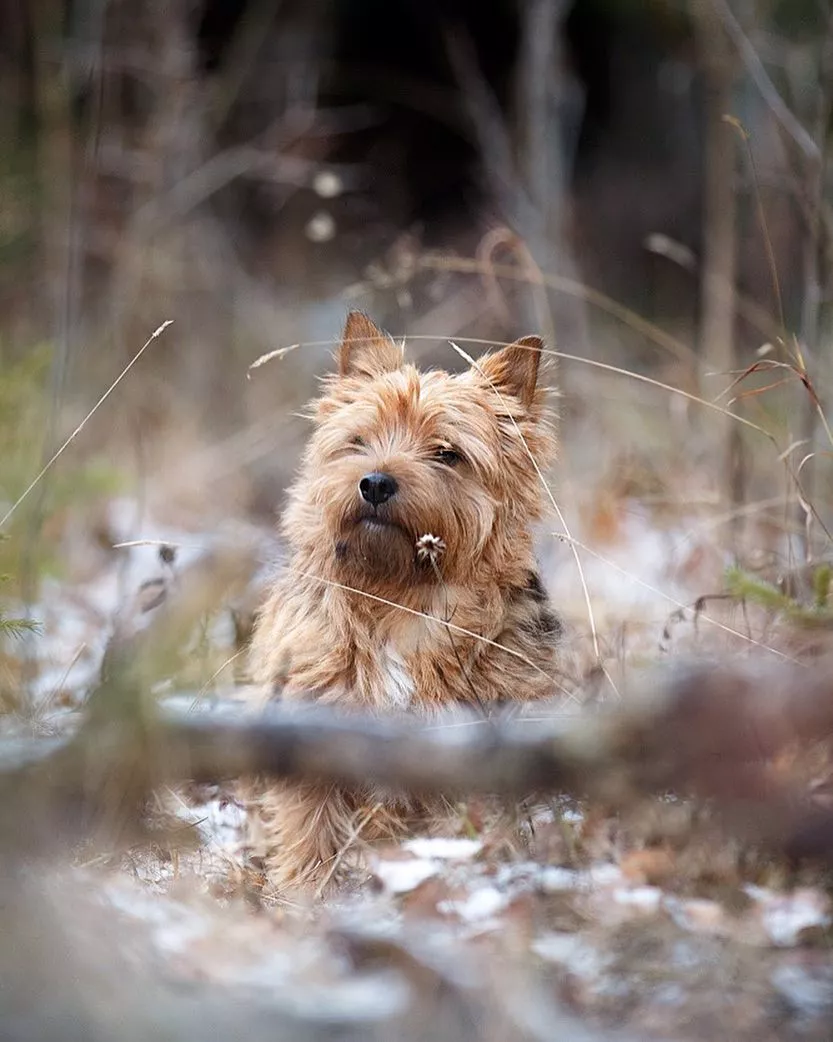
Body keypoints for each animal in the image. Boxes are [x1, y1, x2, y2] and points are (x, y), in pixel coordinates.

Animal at [246, 312, 558, 891]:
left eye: (446, 454)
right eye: (359, 441)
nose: (374, 483)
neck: (395, 598)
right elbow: (309, 833)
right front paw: (303, 895)